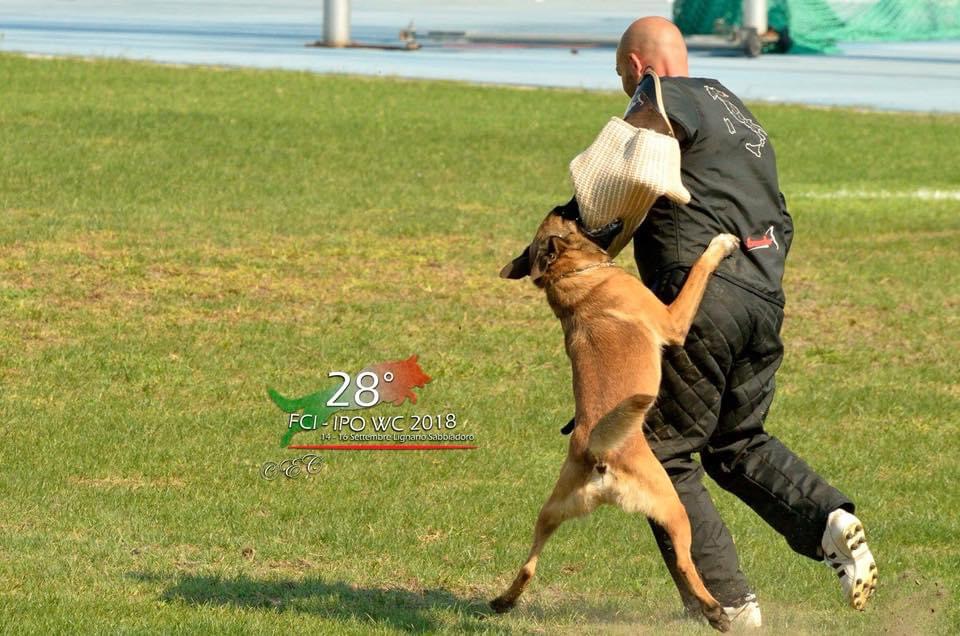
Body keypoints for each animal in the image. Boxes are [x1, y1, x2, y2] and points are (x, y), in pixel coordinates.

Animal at [490, 208, 738, 632]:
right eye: (568, 215)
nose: (566, 204)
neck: (573, 277)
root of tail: (599, 454)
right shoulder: (672, 320)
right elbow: (700, 269)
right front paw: (720, 244)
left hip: (550, 511)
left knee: (527, 565)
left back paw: (503, 601)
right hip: (673, 508)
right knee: (685, 563)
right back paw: (715, 611)